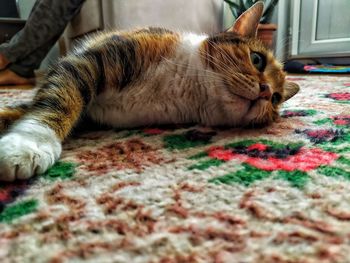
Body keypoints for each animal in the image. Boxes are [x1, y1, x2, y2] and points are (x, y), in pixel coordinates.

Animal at [0, 2, 298, 183]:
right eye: (257, 59)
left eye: (276, 99)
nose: (265, 91)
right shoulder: (90, 61)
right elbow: (57, 101)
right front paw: (27, 146)